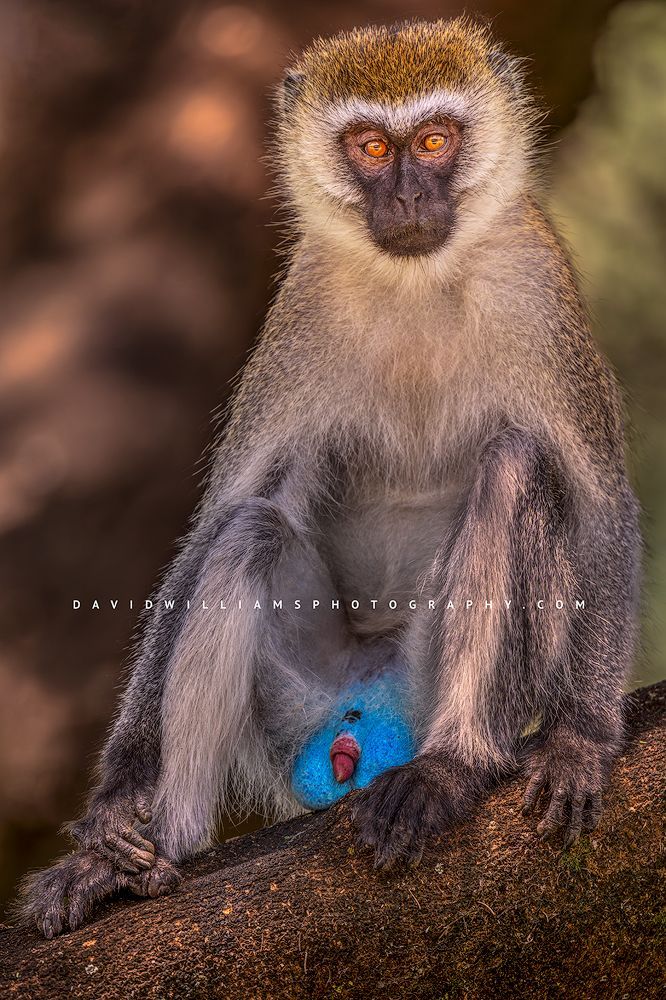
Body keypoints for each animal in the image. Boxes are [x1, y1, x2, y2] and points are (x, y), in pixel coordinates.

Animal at [19, 17, 641, 938]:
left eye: (434, 140)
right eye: (372, 148)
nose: (410, 199)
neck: (419, 280)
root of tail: (365, 710)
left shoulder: (541, 295)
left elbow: (599, 509)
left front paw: (578, 741)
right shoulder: (300, 309)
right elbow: (224, 513)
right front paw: (117, 801)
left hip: (423, 685)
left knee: (516, 469)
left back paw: (450, 767)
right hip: (297, 707)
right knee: (249, 532)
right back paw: (149, 852)